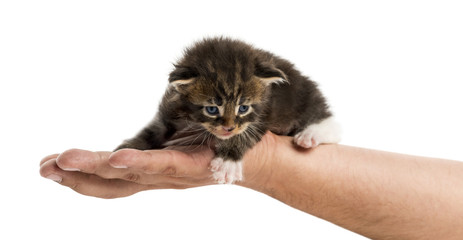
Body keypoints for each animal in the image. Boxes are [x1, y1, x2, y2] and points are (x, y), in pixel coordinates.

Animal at [116, 37, 340, 184]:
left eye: (243, 107)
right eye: (212, 109)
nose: (228, 128)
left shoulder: (262, 114)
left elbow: (244, 134)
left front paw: (227, 161)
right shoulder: (170, 108)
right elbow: (154, 129)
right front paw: (129, 147)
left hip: (303, 94)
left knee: (327, 120)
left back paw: (312, 134)